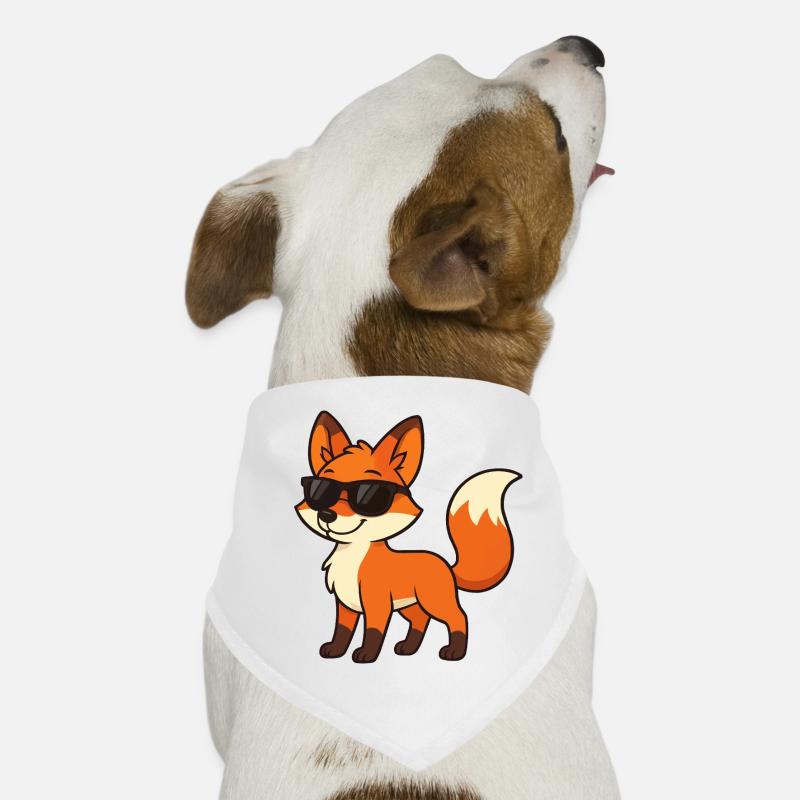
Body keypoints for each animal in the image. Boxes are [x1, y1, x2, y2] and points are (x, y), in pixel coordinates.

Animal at [295, 410, 521, 663]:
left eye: (369, 495)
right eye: (320, 489)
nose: (326, 515)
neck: (352, 559)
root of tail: (445, 563)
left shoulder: (377, 604)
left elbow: (373, 632)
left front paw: (366, 654)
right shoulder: (346, 605)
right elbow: (341, 631)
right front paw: (335, 651)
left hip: (435, 602)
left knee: (458, 617)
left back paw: (454, 652)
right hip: (409, 606)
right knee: (421, 621)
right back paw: (408, 648)